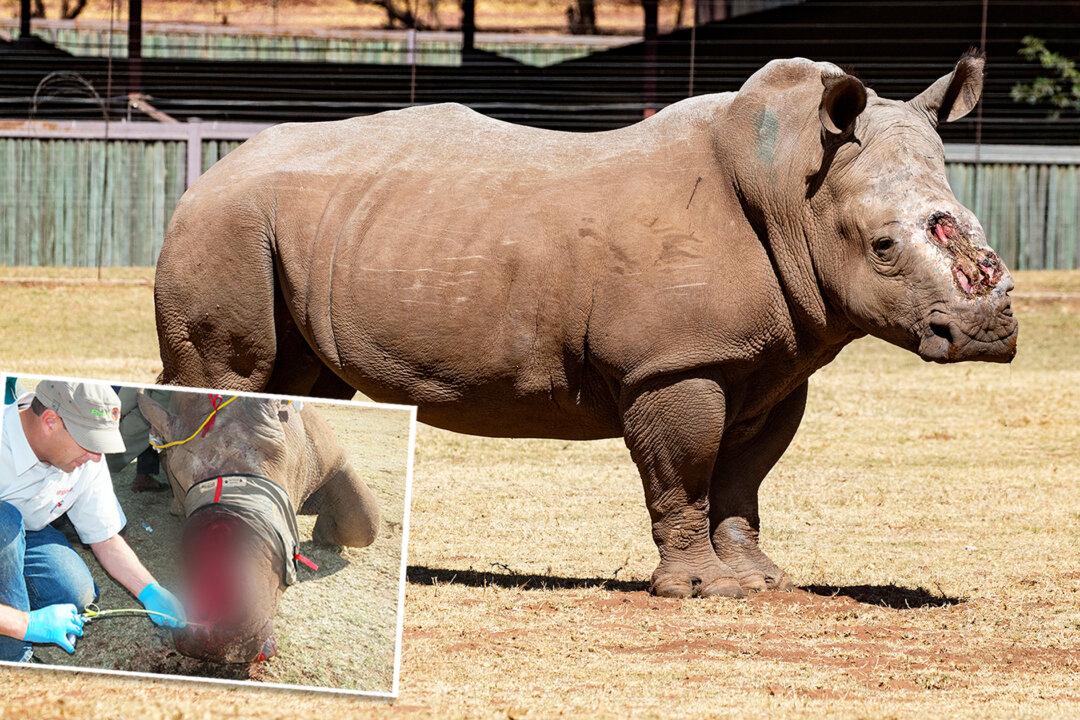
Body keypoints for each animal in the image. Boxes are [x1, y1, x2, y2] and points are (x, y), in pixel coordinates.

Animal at [155, 54, 1017, 598]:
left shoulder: (772, 362)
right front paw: (702, 591)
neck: (795, 189)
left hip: (297, 226)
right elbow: (686, 472)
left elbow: (744, 476)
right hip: (228, 220)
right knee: (234, 374)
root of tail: (210, 168)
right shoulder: (675, 362)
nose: (988, 333)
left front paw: (762, 581)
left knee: (297, 382)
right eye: (883, 248)